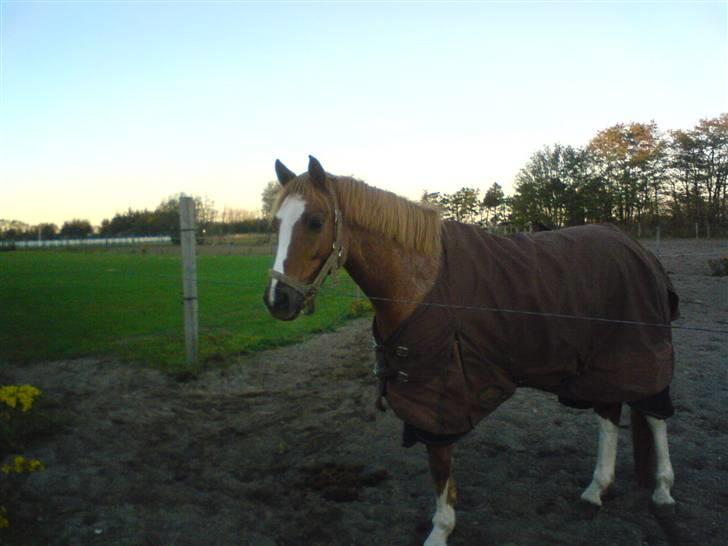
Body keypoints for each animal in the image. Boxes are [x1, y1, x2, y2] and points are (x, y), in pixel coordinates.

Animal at [263, 156, 679, 546]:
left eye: (315, 221)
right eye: (276, 223)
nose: (276, 300)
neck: (419, 280)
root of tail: (637, 249)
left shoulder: (440, 393)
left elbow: (439, 464)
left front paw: (441, 529)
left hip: (637, 351)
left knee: (654, 414)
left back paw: (662, 489)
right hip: (602, 362)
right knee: (609, 412)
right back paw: (596, 490)